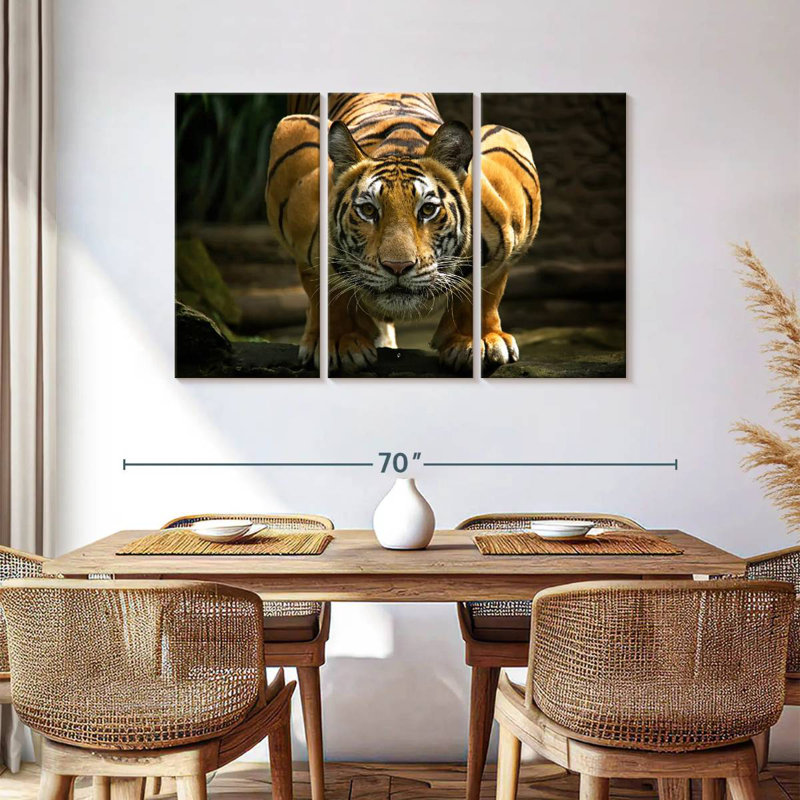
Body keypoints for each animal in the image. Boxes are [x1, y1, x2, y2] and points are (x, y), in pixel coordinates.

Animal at [265, 93, 540, 373]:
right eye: (368, 210)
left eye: (428, 209)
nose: (397, 267)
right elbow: (327, 288)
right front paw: (340, 341)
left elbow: (486, 288)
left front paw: (479, 339)